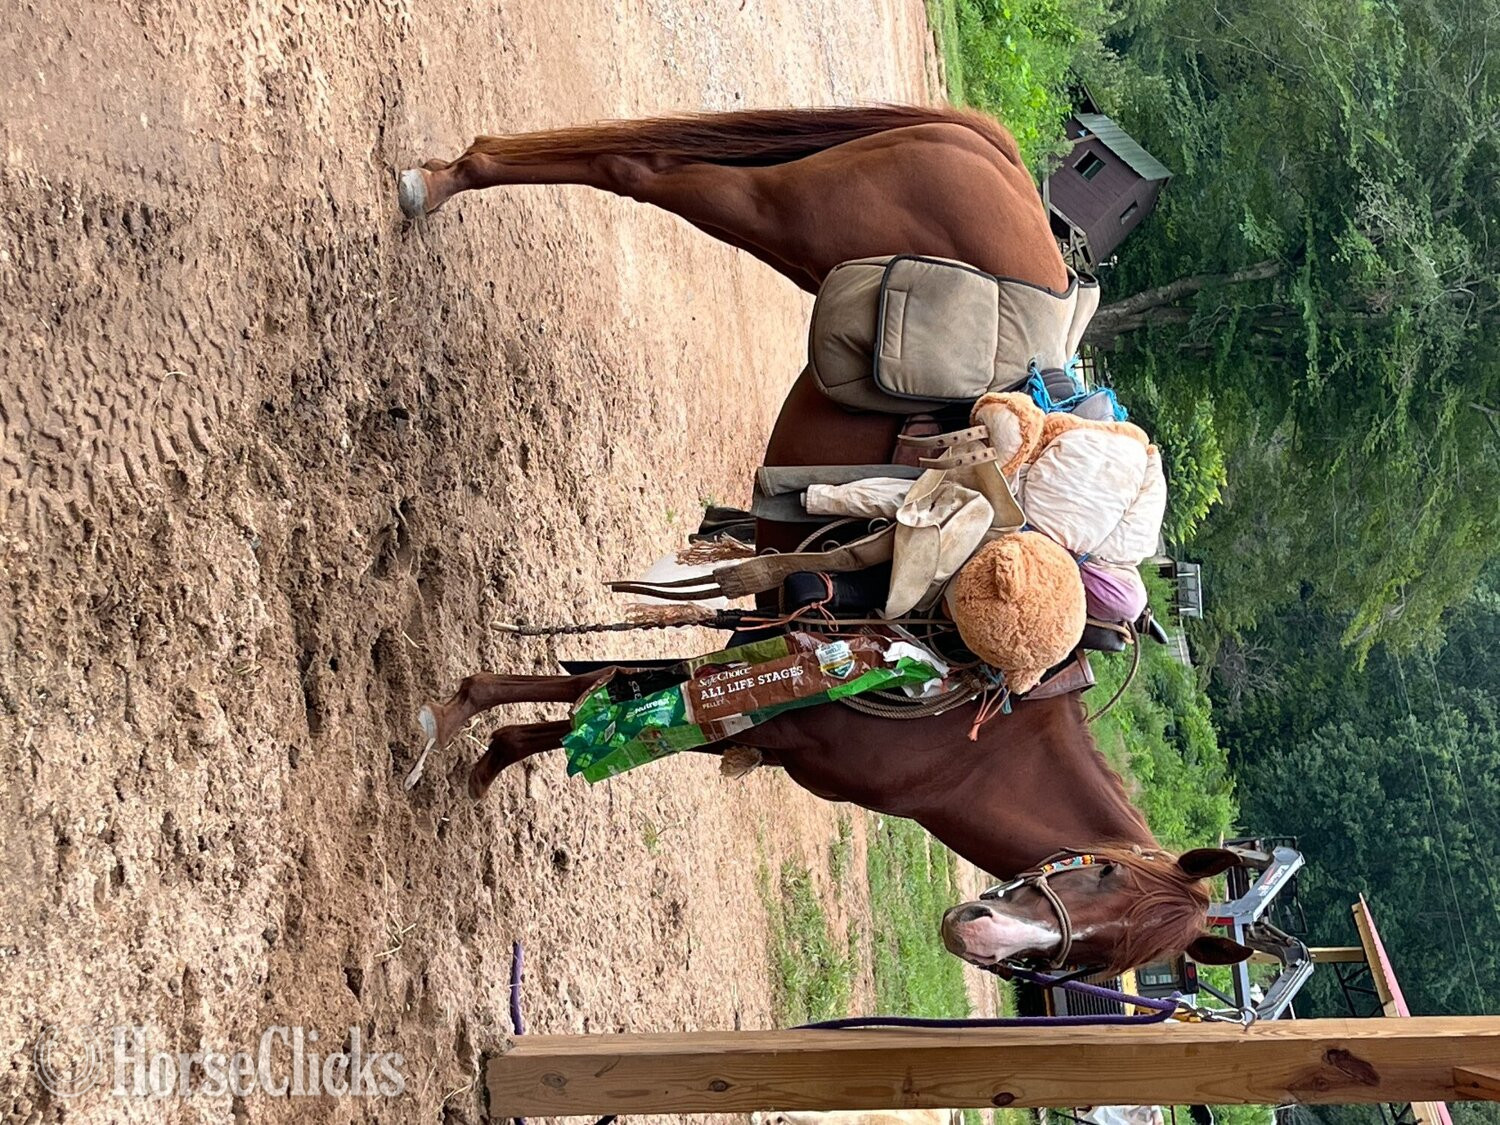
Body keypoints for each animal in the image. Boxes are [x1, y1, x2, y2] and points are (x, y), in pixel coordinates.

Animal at [400, 105, 1253, 977]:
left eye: (1096, 965)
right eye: (1101, 873)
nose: (977, 928)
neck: (963, 747)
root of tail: (998, 152)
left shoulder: (762, 703)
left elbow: (597, 696)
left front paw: (481, 747)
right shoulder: (777, 697)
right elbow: (587, 691)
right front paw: (458, 726)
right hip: (779, 209)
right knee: (635, 168)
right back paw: (435, 184)